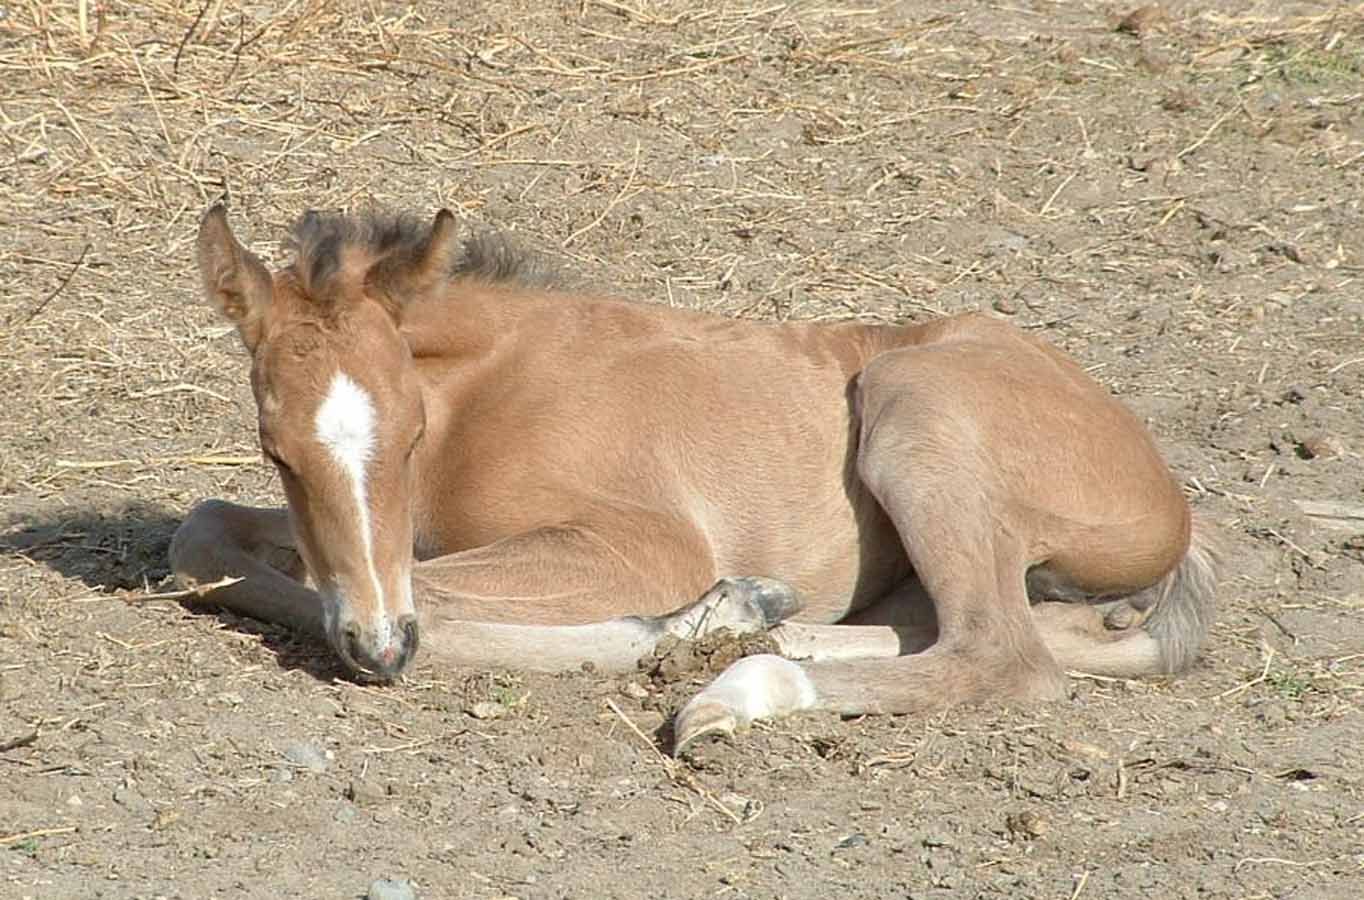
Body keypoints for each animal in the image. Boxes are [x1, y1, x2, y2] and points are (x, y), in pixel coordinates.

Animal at [170, 204, 1220, 752]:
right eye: (276, 450)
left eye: (412, 432)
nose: (379, 649)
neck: (486, 395)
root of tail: (1169, 501)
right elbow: (202, 535)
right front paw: (719, 611)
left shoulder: (646, 540)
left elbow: (437, 596)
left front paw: (663, 629)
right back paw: (750, 623)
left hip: (913, 405)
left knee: (1003, 653)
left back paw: (732, 686)